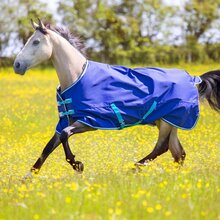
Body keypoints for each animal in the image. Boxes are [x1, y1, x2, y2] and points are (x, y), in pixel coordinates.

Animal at [13, 18, 220, 179]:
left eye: (36, 42)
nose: (17, 65)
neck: (76, 76)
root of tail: (193, 79)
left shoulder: (90, 121)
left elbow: (65, 136)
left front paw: (78, 165)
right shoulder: (65, 121)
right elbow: (48, 147)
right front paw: (26, 178)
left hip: (169, 121)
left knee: (162, 148)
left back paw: (133, 168)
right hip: (167, 121)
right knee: (178, 153)